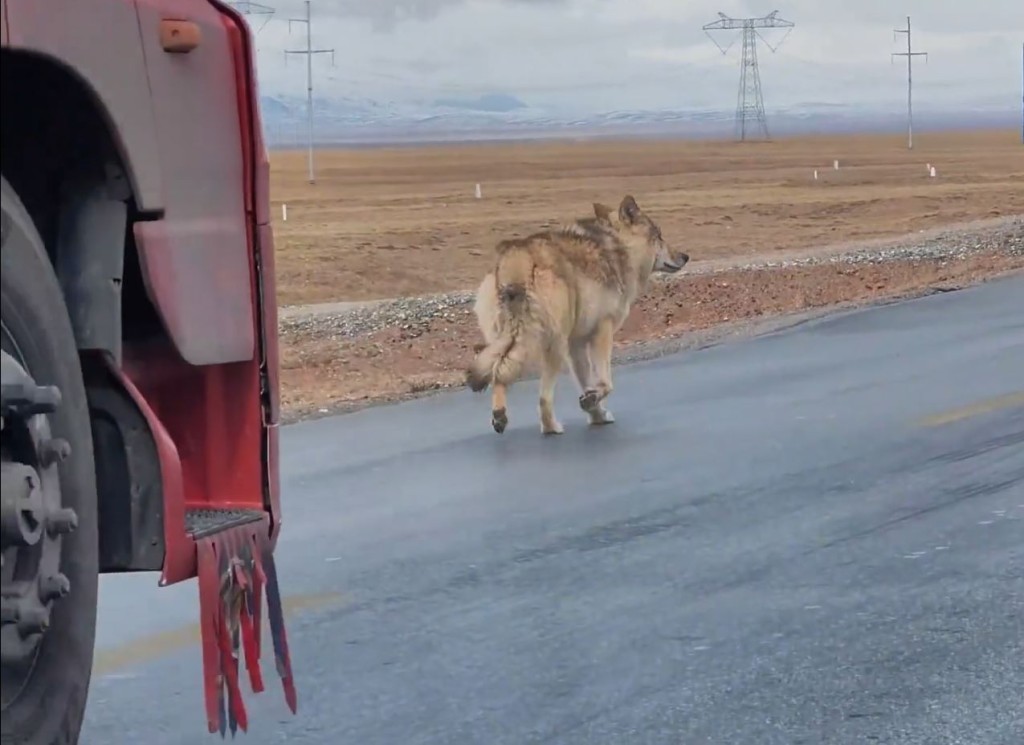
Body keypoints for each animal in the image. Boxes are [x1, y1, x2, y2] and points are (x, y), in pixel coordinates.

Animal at [468, 195, 692, 433]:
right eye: (659, 236)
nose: (685, 256)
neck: (617, 247)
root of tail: (517, 257)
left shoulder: (576, 343)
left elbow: (587, 383)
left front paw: (596, 414)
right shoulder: (602, 330)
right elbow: (605, 383)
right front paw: (593, 403)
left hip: (509, 342)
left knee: (498, 376)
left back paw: (500, 416)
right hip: (552, 346)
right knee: (543, 399)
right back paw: (552, 428)